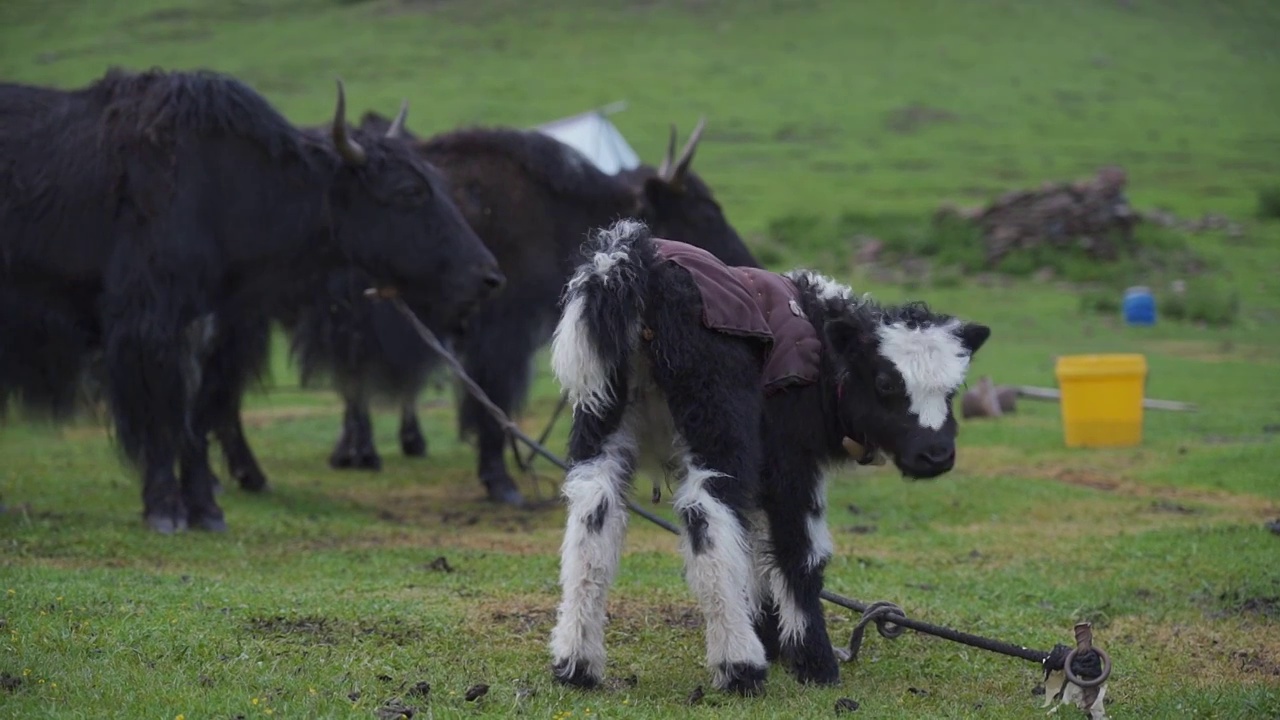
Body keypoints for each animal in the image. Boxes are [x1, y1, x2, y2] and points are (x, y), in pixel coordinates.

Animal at [547, 217, 988, 691]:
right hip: (718, 415)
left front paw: (774, 639)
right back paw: (739, 665)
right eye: (886, 383)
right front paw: (813, 661)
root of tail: (637, 264)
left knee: (593, 518)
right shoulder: (789, 460)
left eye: (953, 390)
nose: (935, 455)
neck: (823, 357)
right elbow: (798, 552)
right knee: (708, 516)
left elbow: (758, 549)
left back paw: (577, 664)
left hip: (602, 413)